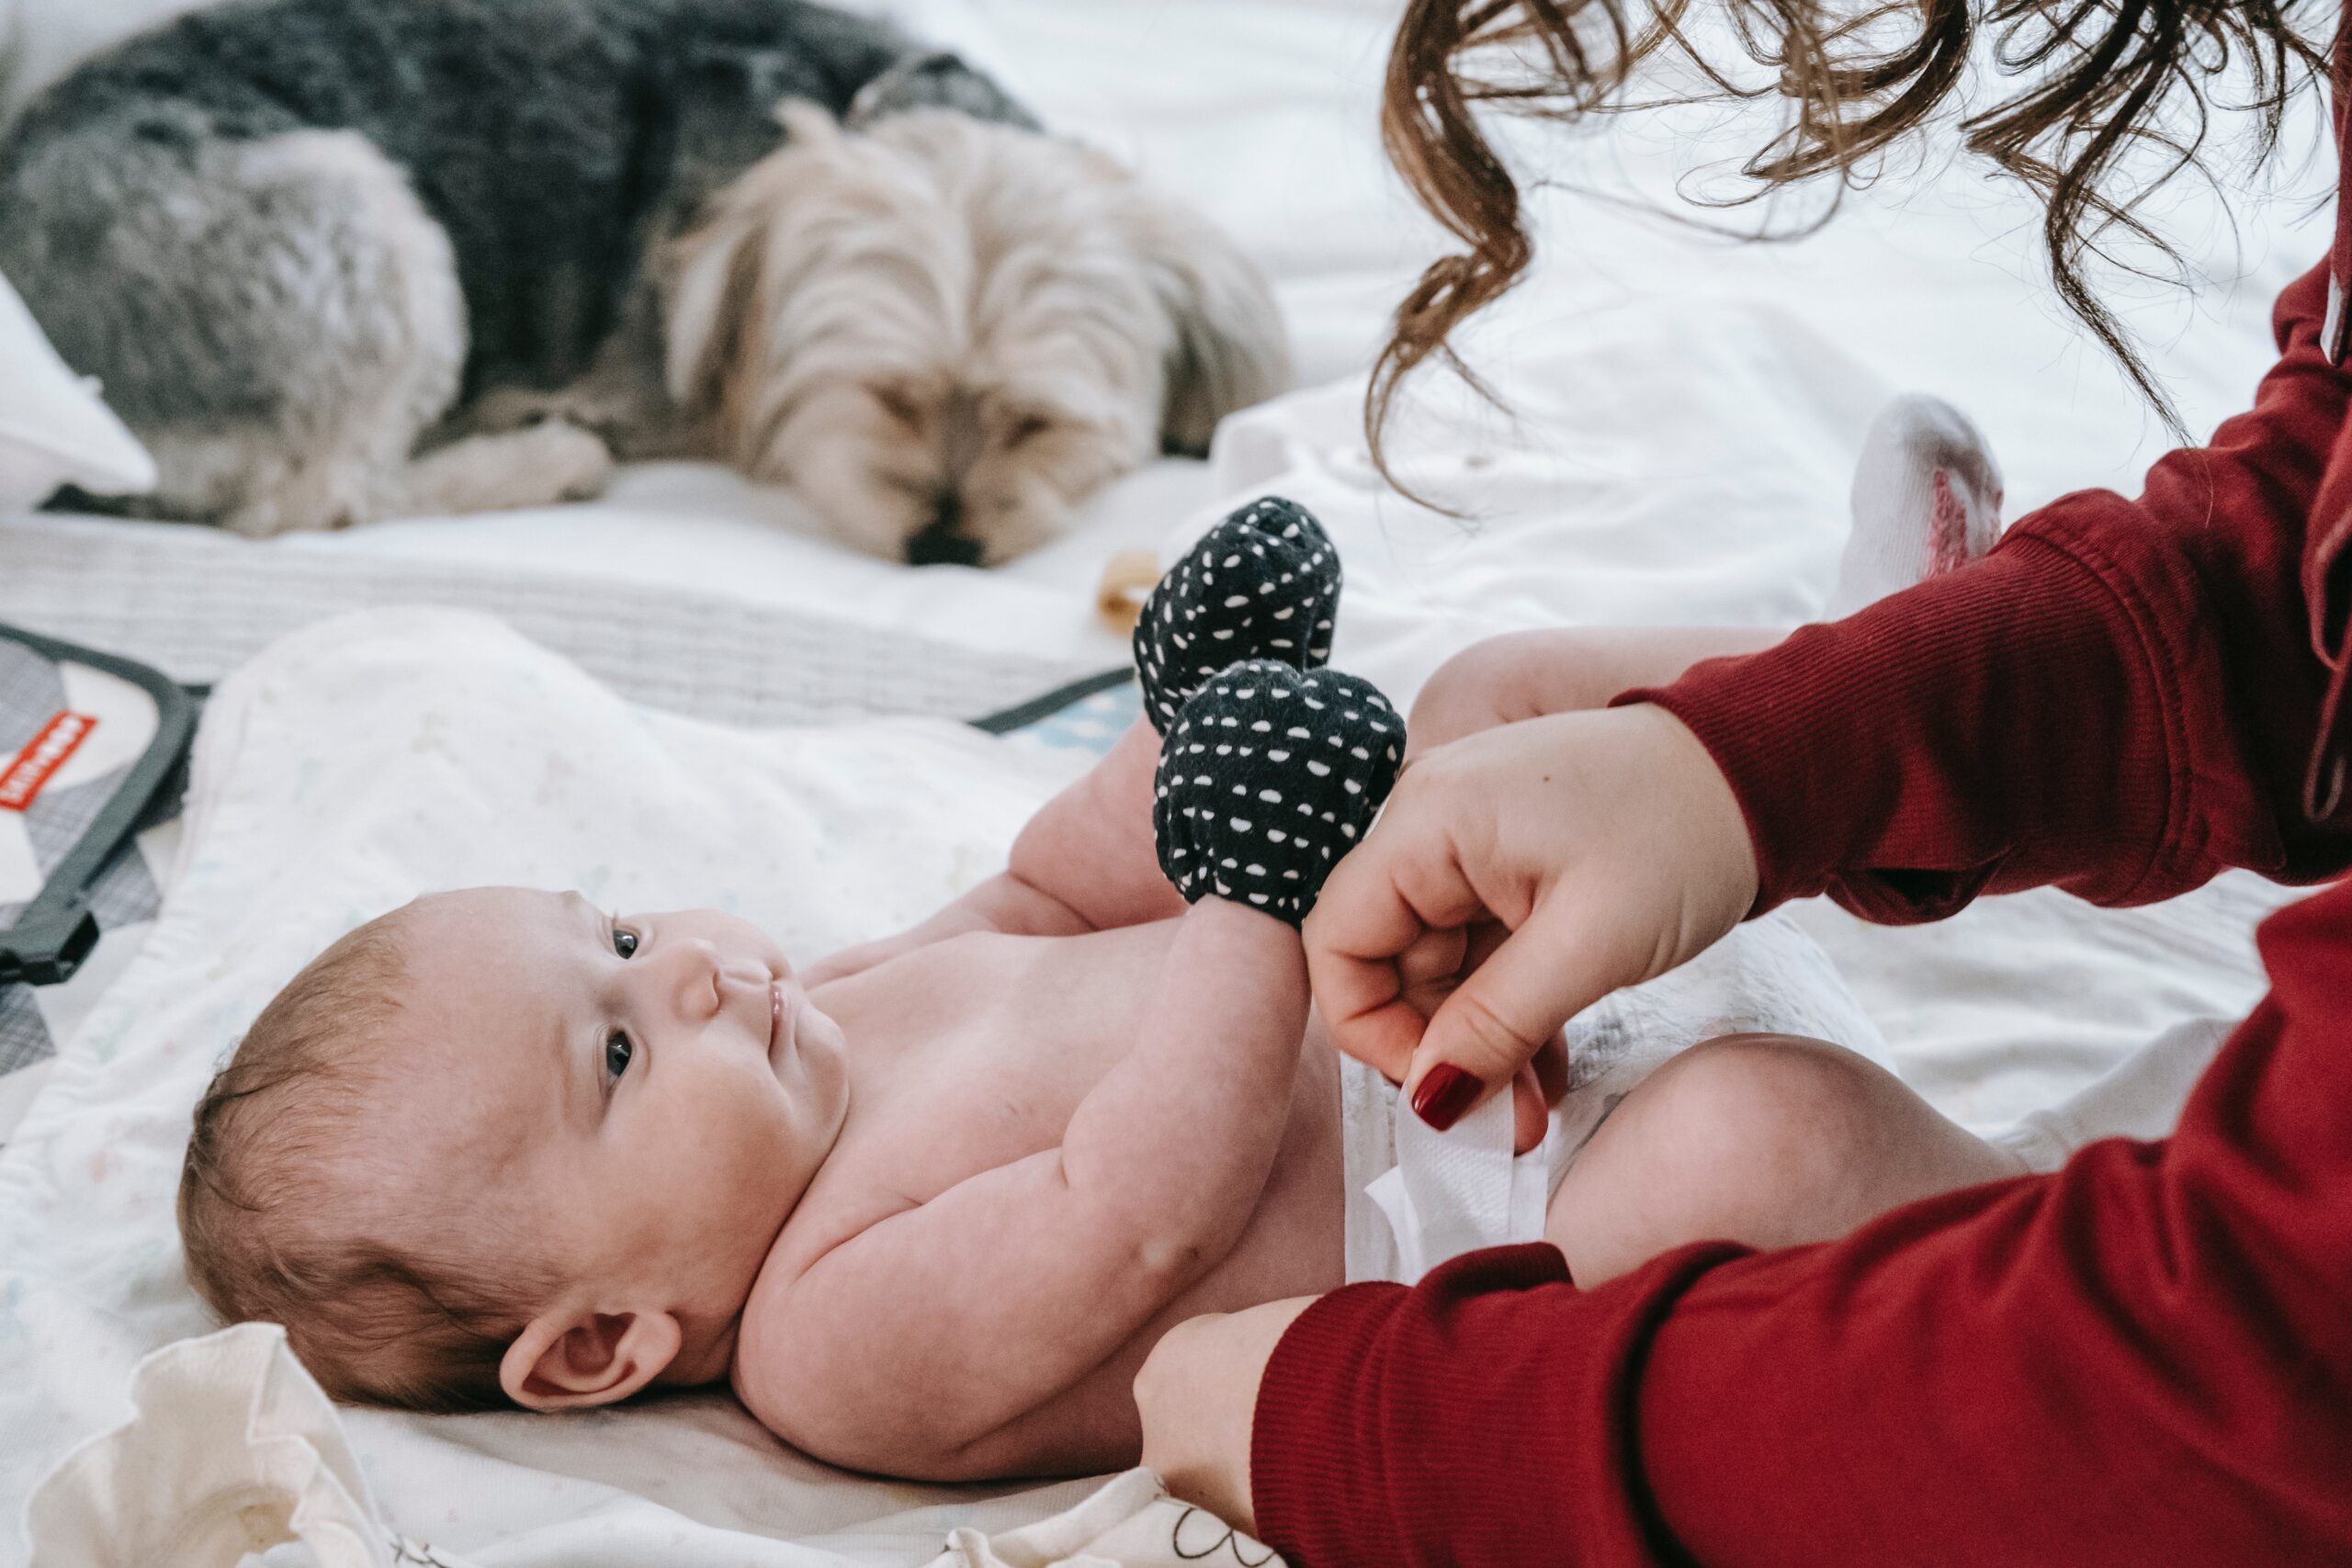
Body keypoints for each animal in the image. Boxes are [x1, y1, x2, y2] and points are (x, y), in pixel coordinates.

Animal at [0, 0, 1288, 561]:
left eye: (1037, 423)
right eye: (882, 397)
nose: (942, 544)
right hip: (353, 223)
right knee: (312, 497)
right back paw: (540, 458)